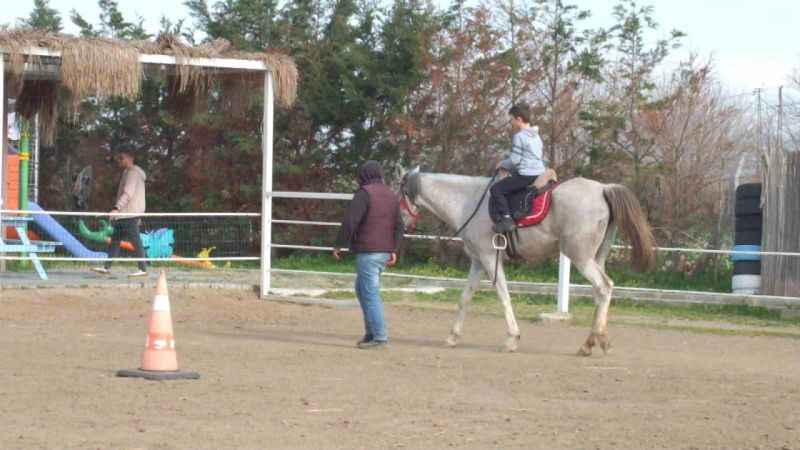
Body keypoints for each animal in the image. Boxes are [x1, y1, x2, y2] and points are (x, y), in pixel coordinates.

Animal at [400, 169, 656, 356]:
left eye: (400, 192)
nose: (402, 223)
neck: (468, 201)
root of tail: (603, 189)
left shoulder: (490, 258)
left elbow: (503, 296)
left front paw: (512, 339)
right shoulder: (478, 261)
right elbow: (465, 298)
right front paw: (453, 337)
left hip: (580, 257)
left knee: (604, 287)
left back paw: (591, 342)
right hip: (596, 257)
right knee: (600, 293)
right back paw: (595, 340)